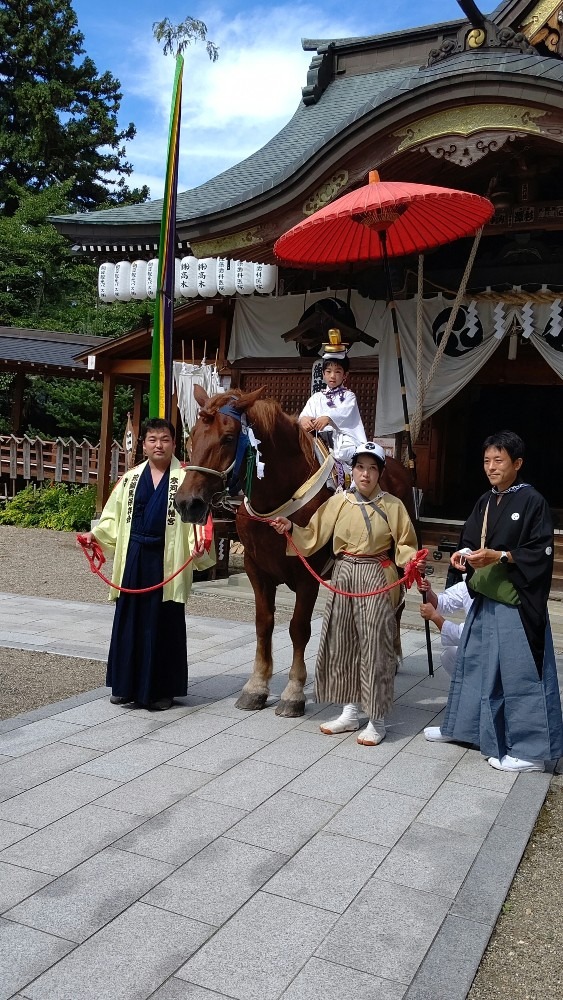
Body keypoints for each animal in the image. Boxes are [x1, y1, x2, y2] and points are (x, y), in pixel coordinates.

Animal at [174, 384, 416, 720]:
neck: (277, 496)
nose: (187, 503)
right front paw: (256, 686)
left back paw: (392, 658)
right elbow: (264, 625)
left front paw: (293, 693)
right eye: (193, 436)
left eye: (228, 438)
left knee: (397, 606)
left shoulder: (307, 573)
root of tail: (398, 467)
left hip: (395, 557)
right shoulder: (256, 568)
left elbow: (298, 629)